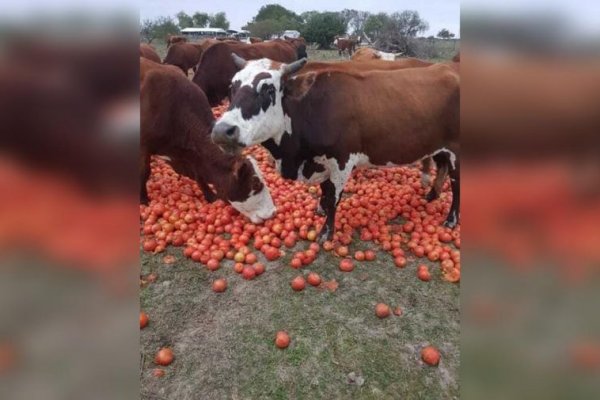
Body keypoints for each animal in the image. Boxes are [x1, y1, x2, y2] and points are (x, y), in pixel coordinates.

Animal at [141, 57, 274, 223]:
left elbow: (199, 174)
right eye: (255, 184)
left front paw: (210, 195)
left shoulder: (192, 155)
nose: (272, 212)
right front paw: (143, 199)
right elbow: (144, 172)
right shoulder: (143, 147)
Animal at [211, 55, 460, 241]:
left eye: (269, 90)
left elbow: (333, 198)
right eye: (232, 87)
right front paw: (321, 209)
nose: (223, 131)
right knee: (441, 167)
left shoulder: (342, 161)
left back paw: (451, 219)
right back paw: (432, 195)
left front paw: (326, 232)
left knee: (456, 184)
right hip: (438, 146)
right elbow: (324, 191)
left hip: (457, 150)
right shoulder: (322, 163)